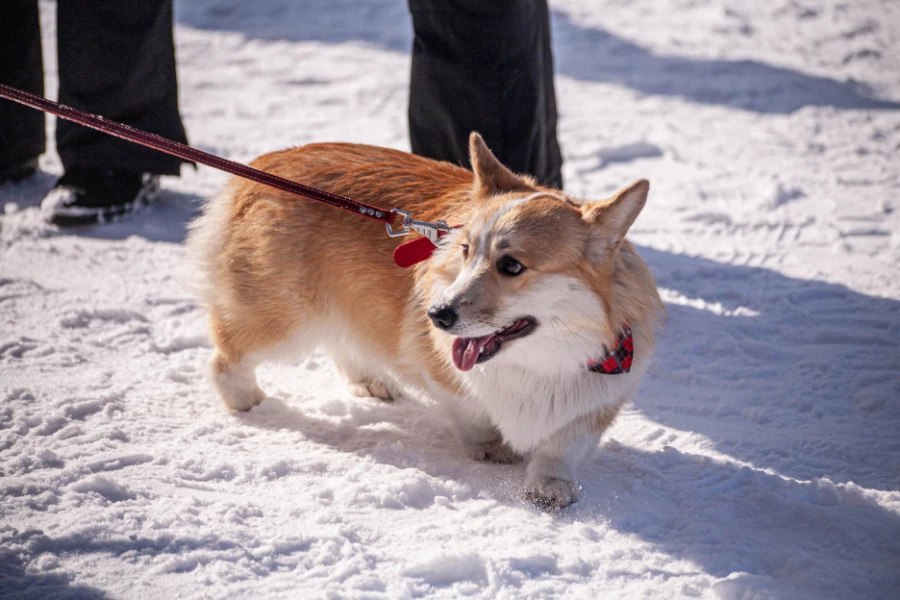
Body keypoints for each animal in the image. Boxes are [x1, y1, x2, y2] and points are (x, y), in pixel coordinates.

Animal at [186, 134, 664, 508]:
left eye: (511, 266)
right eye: (466, 250)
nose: (436, 316)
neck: (540, 359)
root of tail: (261, 166)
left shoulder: (600, 396)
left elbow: (564, 444)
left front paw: (550, 485)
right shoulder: (443, 373)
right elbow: (473, 413)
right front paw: (491, 448)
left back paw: (369, 381)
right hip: (285, 320)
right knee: (227, 354)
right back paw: (246, 401)